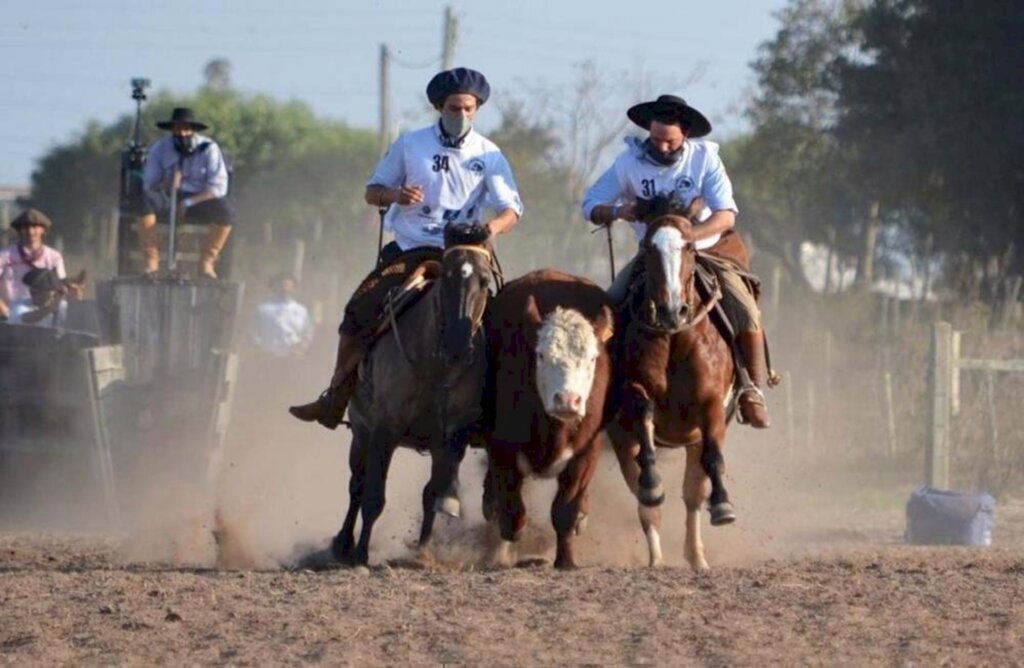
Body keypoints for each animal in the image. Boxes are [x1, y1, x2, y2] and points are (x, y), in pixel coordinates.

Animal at [301, 223, 493, 565]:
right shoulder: (384, 430)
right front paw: (360, 554)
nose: (458, 346)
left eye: (484, 281)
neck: (436, 366)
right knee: (357, 484)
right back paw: (343, 545)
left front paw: (423, 550)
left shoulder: (451, 437)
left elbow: (433, 492)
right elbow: (373, 496)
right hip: (360, 429)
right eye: (446, 278)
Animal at [481, 268, 614, 565]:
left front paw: (566, 562)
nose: (567, 400)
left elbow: (564, 510)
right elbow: (512, 513)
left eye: (592, 358)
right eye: (541, 355)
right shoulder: (501, 448)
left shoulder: (585, 454)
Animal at [602, 214, 741, 569]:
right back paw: (655, 557)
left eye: (689, 246)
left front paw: (723, 505)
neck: (676, 338)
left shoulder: (711, 407)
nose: (672, 310)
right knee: (644, 499)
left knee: (692, 493)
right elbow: (645, 417)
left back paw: (697, 556)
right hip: (621, 441)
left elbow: (711, 461)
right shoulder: (636, 392)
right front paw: (653, 483)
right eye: (648, 248)